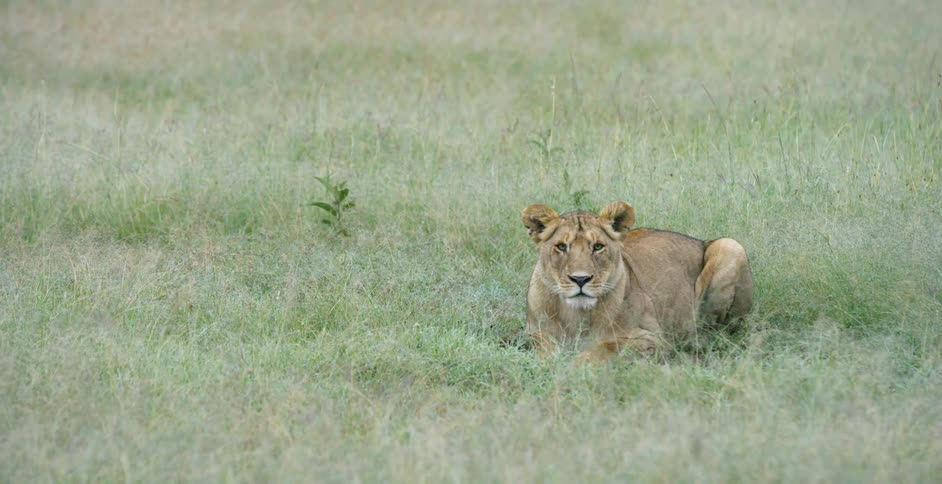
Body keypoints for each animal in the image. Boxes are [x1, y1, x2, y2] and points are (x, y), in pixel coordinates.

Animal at [522, 201, 754, 362]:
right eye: (562, 247)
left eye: (598, 247)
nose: (581, 279)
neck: (576, 315)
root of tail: (701, 240)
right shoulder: (537, 335)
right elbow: (546, 353)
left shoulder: (653, 338)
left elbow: (604, 348)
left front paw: (574, 364)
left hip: (730, 246)